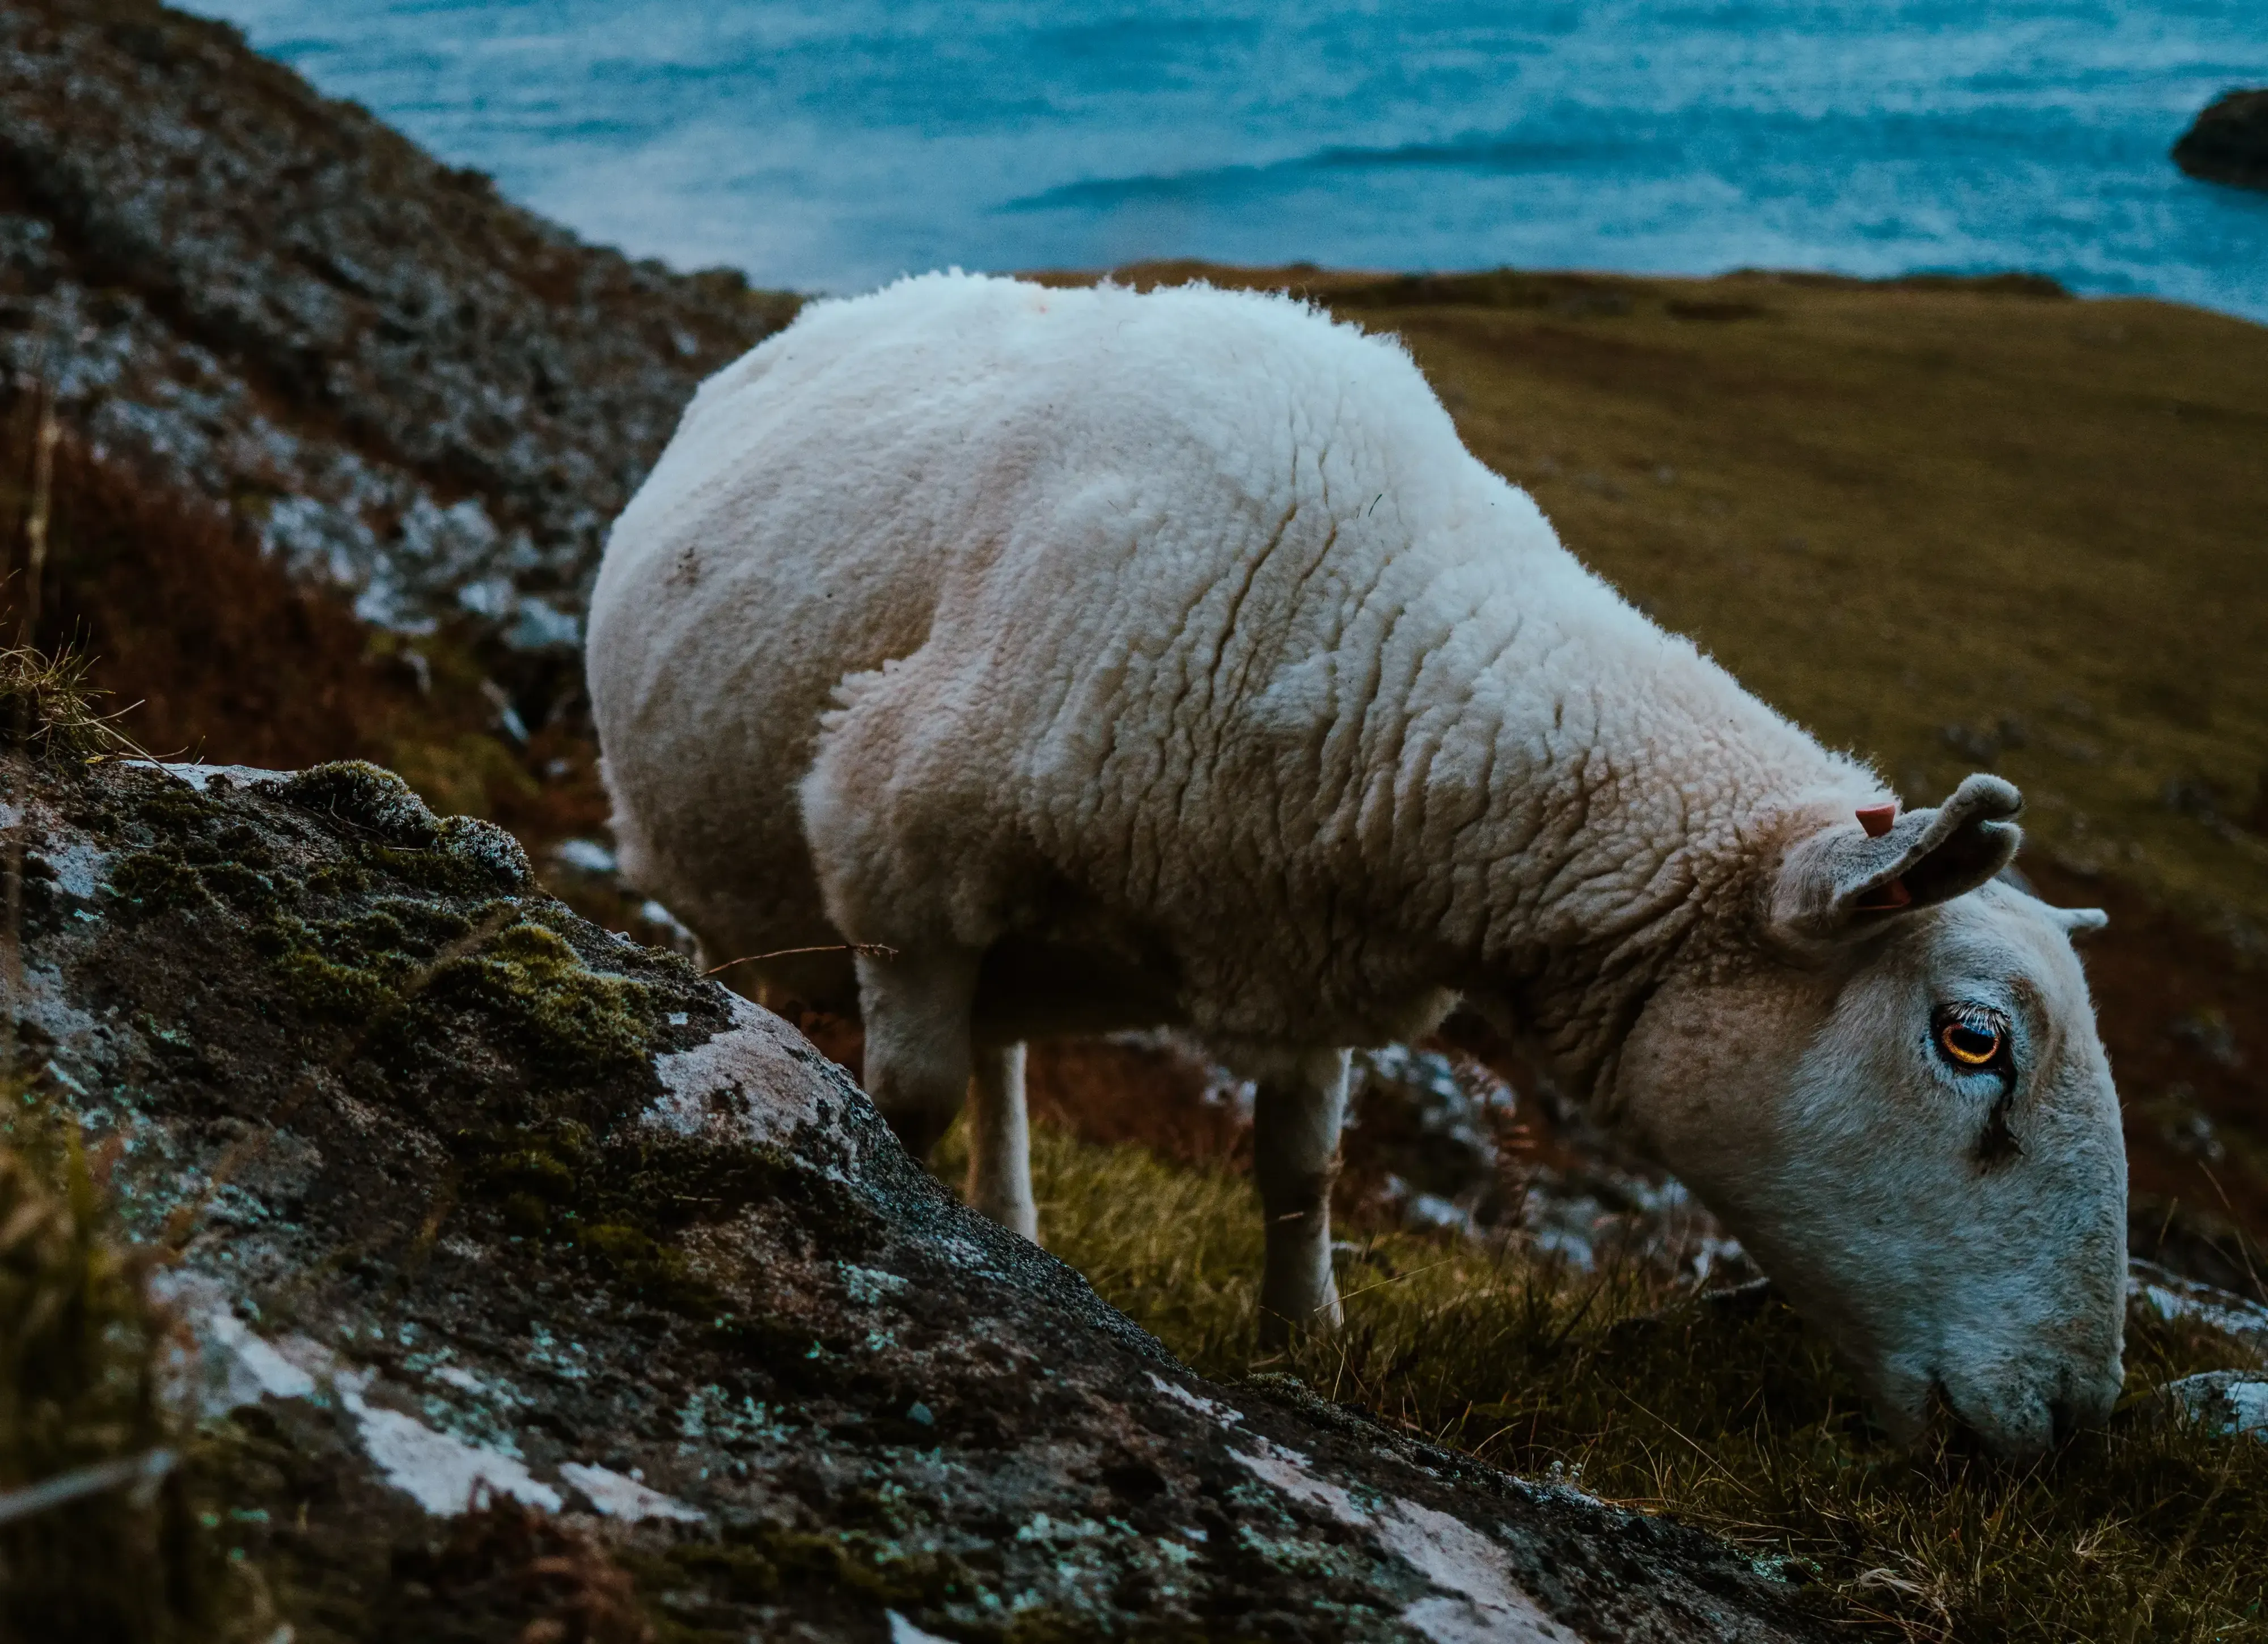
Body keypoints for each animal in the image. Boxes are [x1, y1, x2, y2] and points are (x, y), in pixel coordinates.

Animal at [587, 272, 2127, 1457]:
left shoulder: (1309, 948)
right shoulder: (893, 856)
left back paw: (1013, 1223)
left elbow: (1301, 1165)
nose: (2072, 1421)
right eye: (1972, 1038)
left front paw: (1303, 1341)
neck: (1387, 636)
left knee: (1008, 1062)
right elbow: (905, 1102)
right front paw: (904, 1238)